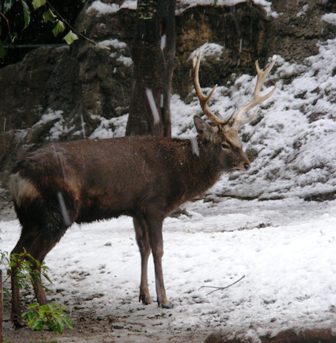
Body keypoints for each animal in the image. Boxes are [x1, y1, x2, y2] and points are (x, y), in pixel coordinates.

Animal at [8, 52, 276, 326]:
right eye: (223, 143)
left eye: (238, 139)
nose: (247, 162)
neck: (179, 172)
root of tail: (17, 175)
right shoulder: (154, 204)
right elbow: (158, 249)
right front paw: (164, 299)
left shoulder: (136, 208)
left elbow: (142, 248)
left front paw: (144, 296)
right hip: (56, 211)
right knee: (34, 259)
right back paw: (47, 314)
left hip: (30, 218)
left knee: (15, 255)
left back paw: (18, 317)